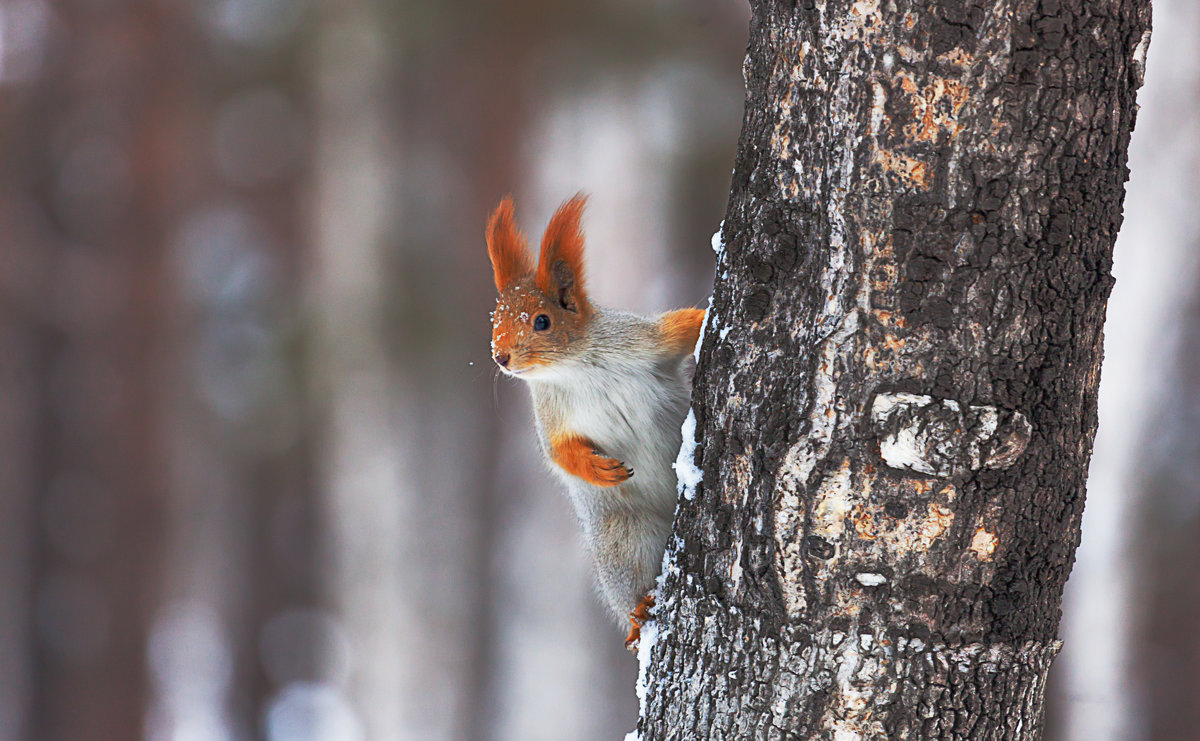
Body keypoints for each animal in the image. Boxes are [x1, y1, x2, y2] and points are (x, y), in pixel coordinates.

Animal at [484, 191, 705, 647]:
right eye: (494, 319)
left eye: (542, 321)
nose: (501, 357)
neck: (576, 366)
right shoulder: (549, 417)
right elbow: (558, 453)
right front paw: (598, 469)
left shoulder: (642, 340)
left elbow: (679, 329)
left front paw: (709, 313)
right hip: (623, 540)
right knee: (631, 587)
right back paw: (639, 614)